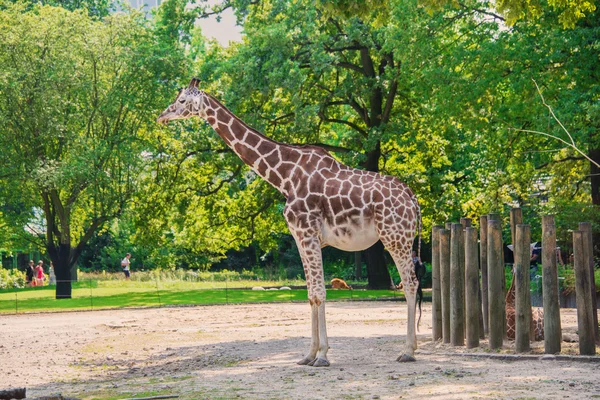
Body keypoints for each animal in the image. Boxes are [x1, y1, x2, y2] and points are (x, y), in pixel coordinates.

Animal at [159, 77, 422, 366]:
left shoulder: (308, 234)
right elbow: (311, 295)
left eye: (182, 100)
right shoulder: (300, 237)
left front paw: (322, 356)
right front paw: (309, 355)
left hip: (395, 237)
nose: (162, 116)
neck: (284, 176)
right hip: (401, 238)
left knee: (410, 284)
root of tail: (413, 199)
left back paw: (408, 351)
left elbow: (319, 292)